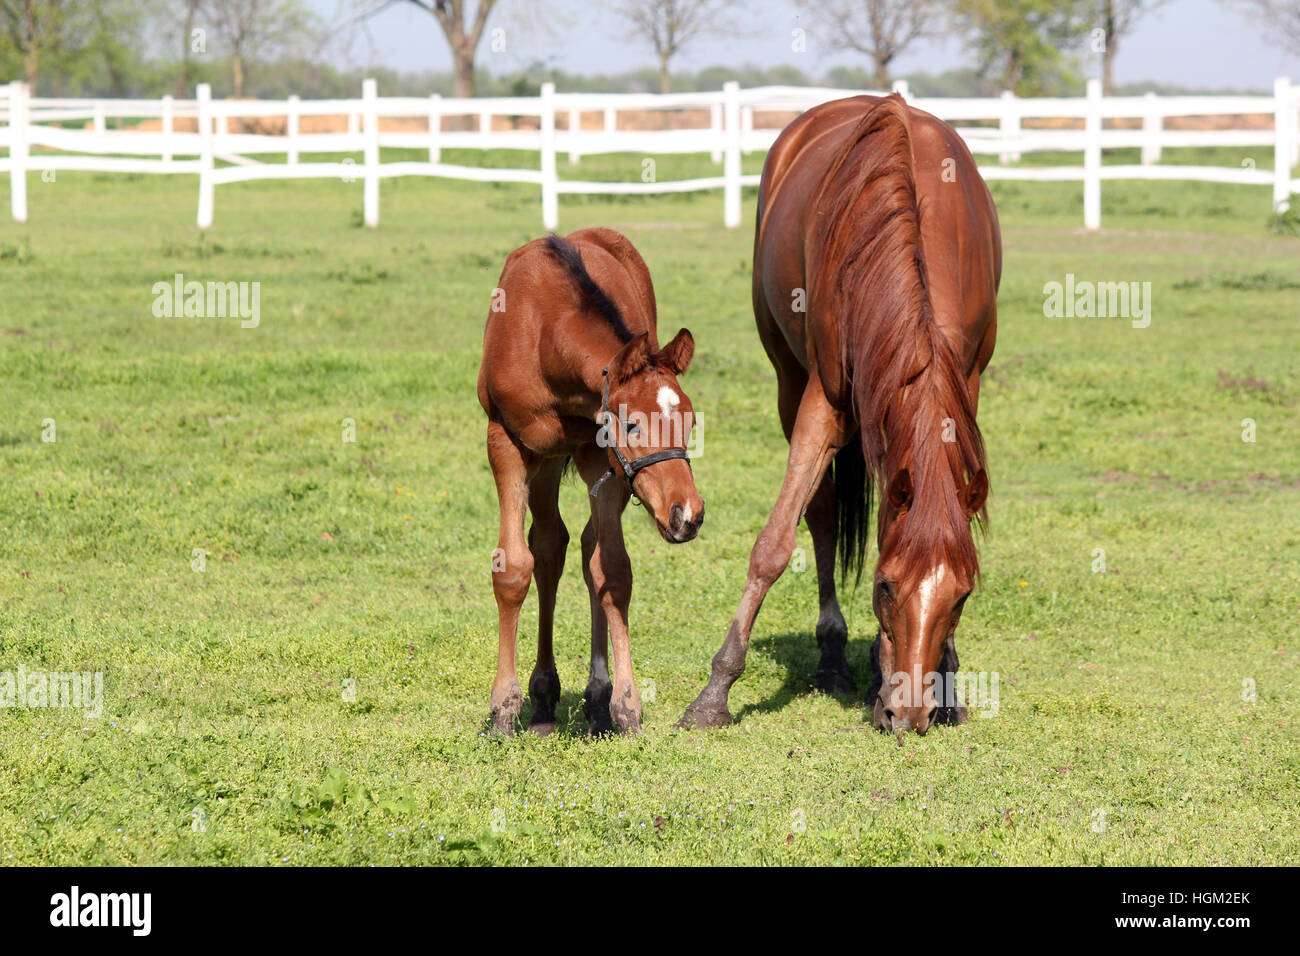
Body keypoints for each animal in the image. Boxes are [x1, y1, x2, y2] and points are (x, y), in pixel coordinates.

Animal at [478, 227, 702, 738]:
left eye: (691, 421)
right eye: (632, 424)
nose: (688, 514)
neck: (544, 331)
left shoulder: (602, 456)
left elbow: (612, 571)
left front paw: (625, 704)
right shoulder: (505, 443)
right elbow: (513, 567)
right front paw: (503, 708)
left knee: (583, 550)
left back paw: (595, 696)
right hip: (544, 460)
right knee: (549, 546)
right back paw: (542, 697)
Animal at [681, 93, 993, 738]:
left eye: (962, 598)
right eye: (885, 588)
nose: (910, 716)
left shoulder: (965, 386)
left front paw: (946, 684)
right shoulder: (823, 399)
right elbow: (773, 545)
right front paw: (714, 694)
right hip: (789, 380)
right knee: (820, 514)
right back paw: (830, 656)